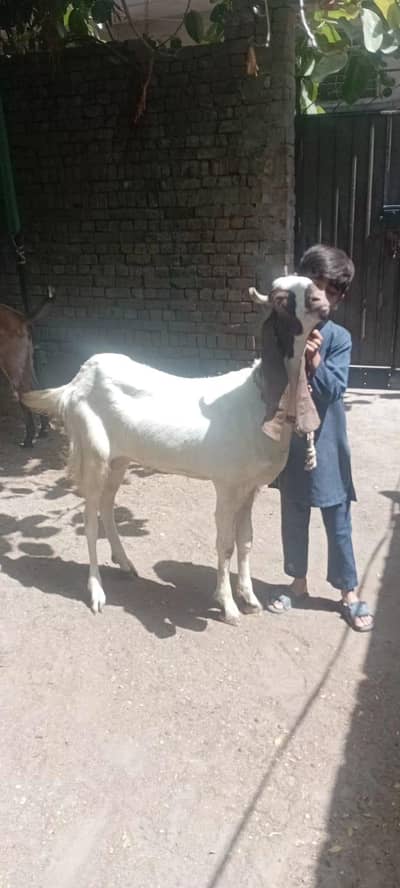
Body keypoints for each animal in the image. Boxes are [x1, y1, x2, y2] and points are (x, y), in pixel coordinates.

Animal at [0, 288, 55, 447]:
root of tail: (20, 316)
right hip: (26, 361)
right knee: (36, 389)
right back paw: (43, 430)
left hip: (11, 363)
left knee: (23, 392)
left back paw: (29, 439)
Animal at [22, 275, 330, 624]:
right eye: (281, 299)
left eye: (311, 285)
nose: (321, 301)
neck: (257, 397)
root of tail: (74, 384)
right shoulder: (227, 484)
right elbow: (225, 544)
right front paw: (228, 606)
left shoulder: (250, 486)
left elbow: (246, 540)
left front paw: (250, 599)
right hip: (94, 453)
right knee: (88, 519)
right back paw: (97, 592)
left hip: (119, 459)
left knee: (106, 505)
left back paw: (125, 564)